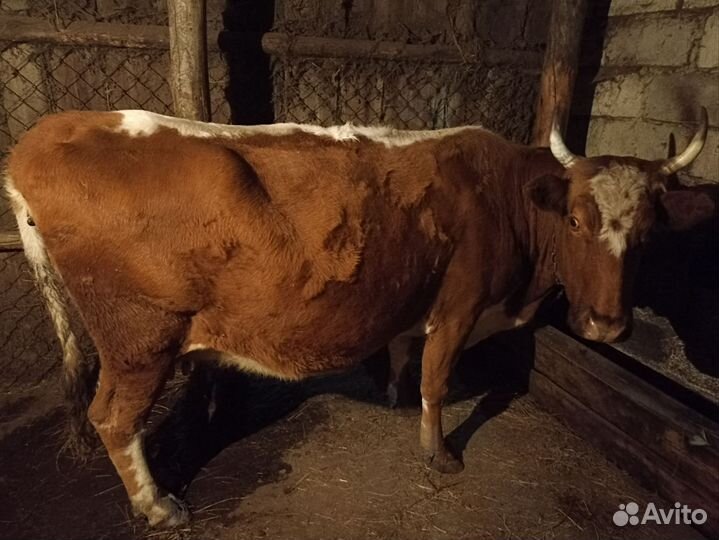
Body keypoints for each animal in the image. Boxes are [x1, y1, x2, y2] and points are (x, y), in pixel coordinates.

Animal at [4, 108, 712, 527]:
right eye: (574, 221)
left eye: (648, 231)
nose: (605, 326)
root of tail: (51, 132)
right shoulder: (459, 305)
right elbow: (437, 381)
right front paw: (438, 454)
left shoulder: (414, 300)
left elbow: (402, 354)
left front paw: (394, 395)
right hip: (139, 339)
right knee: (113, 419)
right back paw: (157, 506)